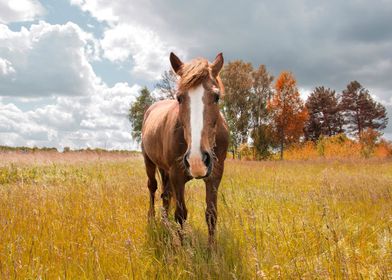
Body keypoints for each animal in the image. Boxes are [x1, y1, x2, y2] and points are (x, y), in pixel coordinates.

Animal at [141, 52, 228, 245]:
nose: (197, 161)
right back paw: (152, 218)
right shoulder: (177, 175)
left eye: (216, 97)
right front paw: (183, 249)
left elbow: (211, 214)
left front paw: (212, 250)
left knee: (165, 195)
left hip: (164, 169)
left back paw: (165, 223)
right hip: (149, 162)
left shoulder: (215, 175)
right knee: (152, 187)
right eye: (179, 97)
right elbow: (181, 214)